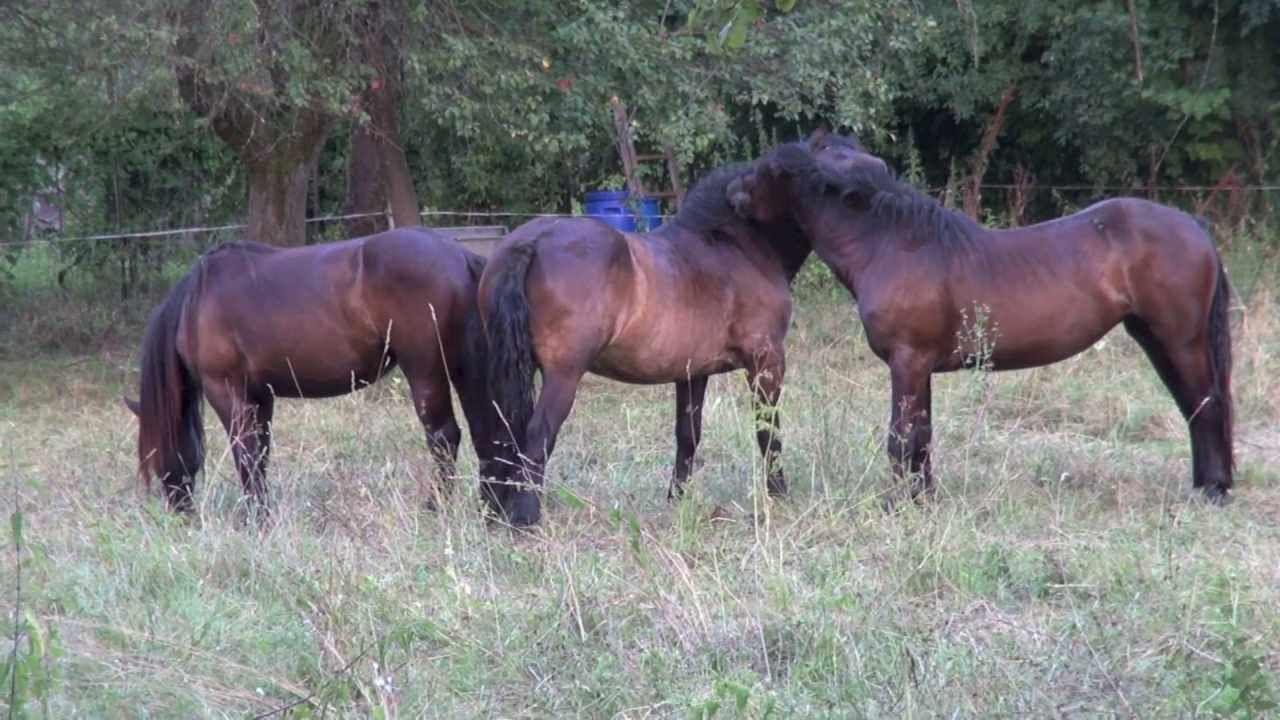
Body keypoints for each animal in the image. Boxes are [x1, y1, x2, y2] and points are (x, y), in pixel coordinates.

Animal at [124, 226, 504, 519]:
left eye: (156, 453)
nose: (180, 511)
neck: (197, 302)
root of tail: (458, 256)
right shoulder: (260, 397)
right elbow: (260, 453)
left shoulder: (227, 392)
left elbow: (246, 454)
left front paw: (255, 518)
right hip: (462, 371)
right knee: (483, 431)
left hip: (426, 372)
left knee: (444, 437)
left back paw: (434, 508)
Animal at [477, 164, 812, 526]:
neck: (733, 247)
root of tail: (533, 241)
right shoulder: (766, 363)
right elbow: (768, 431)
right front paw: (778, 493)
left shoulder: (693, 373)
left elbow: (688, 434)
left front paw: (677, 498)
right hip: (562, 376)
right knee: (538, 433)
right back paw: (525, 516)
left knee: (503, 432)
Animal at [727, 130, 1234, 503]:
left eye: (767, 169)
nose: (732, 193)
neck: (890, 245)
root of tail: (1195, 228)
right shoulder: (919, 367)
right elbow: (922, 437)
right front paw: (923, 498)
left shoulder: (907, 361)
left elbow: (901, 437)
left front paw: (895, 503)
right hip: (1155, 338)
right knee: (1194, 406)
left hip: (1180, 339)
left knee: (1207, 403)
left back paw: (1214, 491)